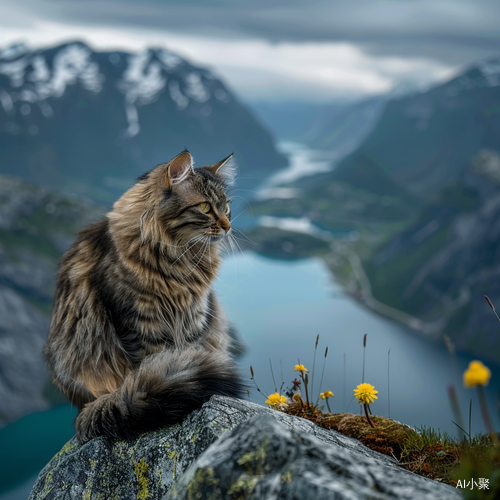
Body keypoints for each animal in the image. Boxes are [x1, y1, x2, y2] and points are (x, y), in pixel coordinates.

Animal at [44, 149, 243, 442]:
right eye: (206, 207)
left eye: (226, 206)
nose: (228, 226)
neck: (178, 259)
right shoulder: (139, 324)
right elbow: (153, 365)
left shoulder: (196, 318)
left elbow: (189, 354)